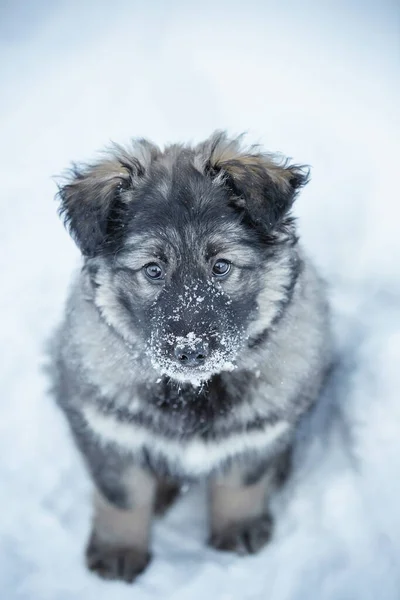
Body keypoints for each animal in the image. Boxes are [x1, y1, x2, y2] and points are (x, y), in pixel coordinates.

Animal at [50, 131, 332, 580]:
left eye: (221, 267)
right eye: (152, 270)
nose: (191, 351)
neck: (195, 389)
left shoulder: (260, 432)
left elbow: (241, 484)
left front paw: (237, 529)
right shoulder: (105, 427)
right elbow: (122, 497)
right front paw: (119, 549)